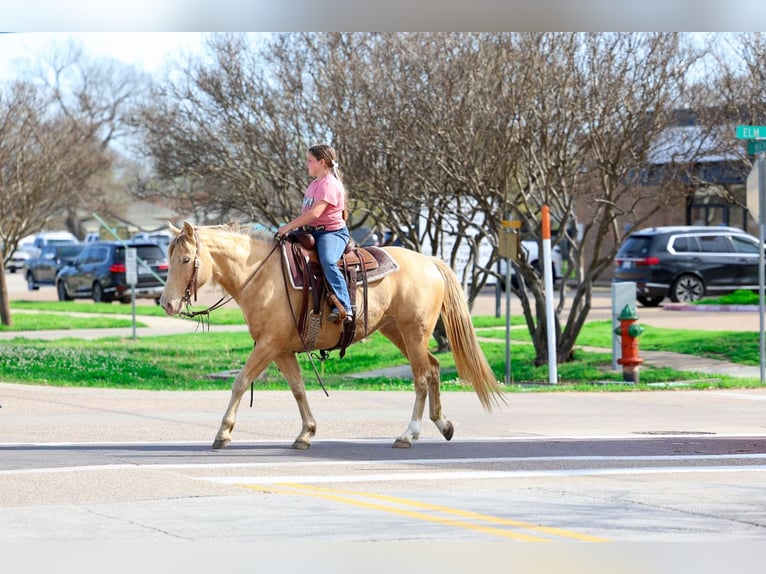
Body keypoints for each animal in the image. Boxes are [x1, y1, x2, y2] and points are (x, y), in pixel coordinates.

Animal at [160, 221, 506, 450]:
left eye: (186, 260)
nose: (166, 303)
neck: (260, 275)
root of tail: (429, 261)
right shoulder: (281, 350)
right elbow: (298, 389)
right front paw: (306, 433)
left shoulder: (268, 345)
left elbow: (240, 382)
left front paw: (223, 433)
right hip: (397, 331)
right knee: (432, 369)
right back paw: (443, 425)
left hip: (413, 332)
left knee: (421, 377)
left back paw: (408, 434)